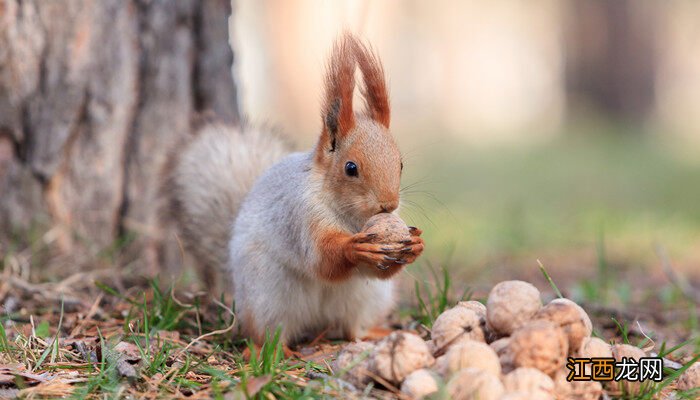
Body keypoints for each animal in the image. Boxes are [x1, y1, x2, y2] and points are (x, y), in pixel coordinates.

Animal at [163, 34, 424, 346]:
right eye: (350, 168)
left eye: (400, 164)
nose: (389, 204)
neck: (352, 217)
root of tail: (317, 324)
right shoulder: (300, 217)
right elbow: (323, 259)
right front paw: (354, 247)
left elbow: (374, 269)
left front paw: (415, 245)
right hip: (267, 295)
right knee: (266, 334)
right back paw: (276, 350)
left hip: (367, 296)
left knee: (351, 327)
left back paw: (371, 333)